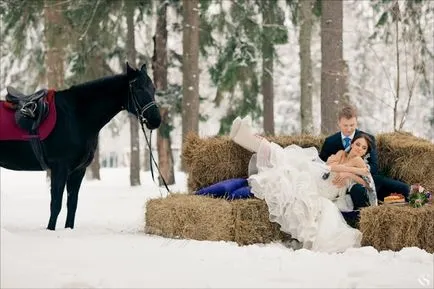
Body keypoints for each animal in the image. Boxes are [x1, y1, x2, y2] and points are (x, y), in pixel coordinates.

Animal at [0, 62, 161, 230]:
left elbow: (72, 204)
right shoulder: (59, 168)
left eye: (153, 88)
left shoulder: (78, 171)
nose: (156, 120)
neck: (75, 116)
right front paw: (50, 229)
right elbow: (56, 204)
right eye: (138, 88)